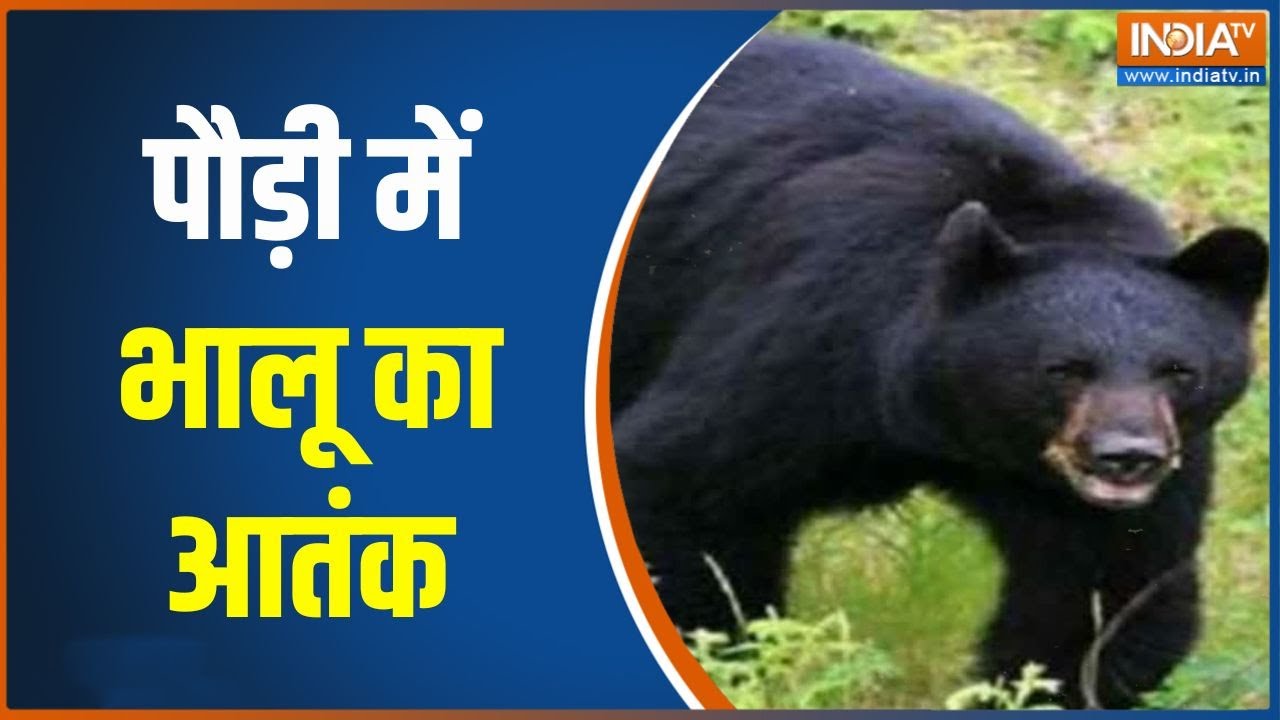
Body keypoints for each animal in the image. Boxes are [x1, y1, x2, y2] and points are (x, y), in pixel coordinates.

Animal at [609, 33, 1268, 709]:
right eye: (1064, 369)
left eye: (1178, 371)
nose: (1127, 456)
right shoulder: (810, 331)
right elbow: (686, 482)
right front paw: (738, 662)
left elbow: (1107, 582)